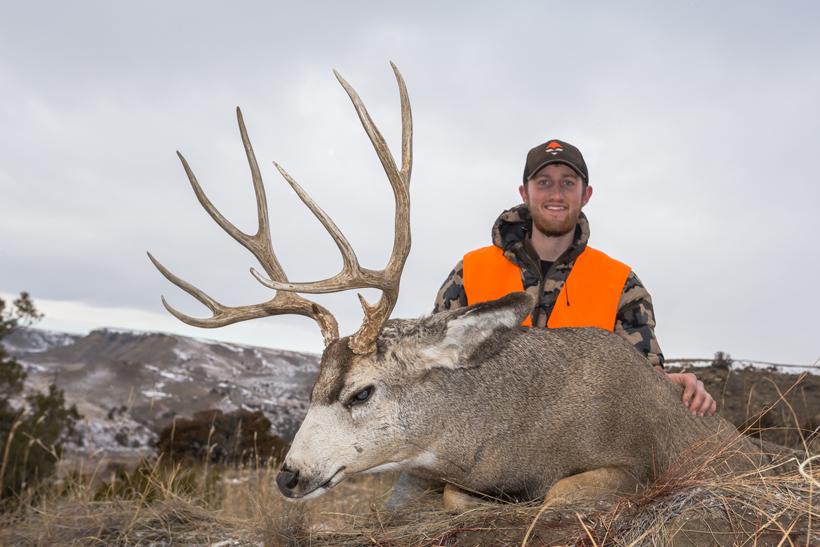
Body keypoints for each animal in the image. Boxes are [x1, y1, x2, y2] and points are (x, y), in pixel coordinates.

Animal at [149, 64, 781, 510]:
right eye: (310, 390)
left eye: (362, 393)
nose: (289, 475)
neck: (514, 429)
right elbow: (452, 494)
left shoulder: (632, 464)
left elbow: (551, 495)